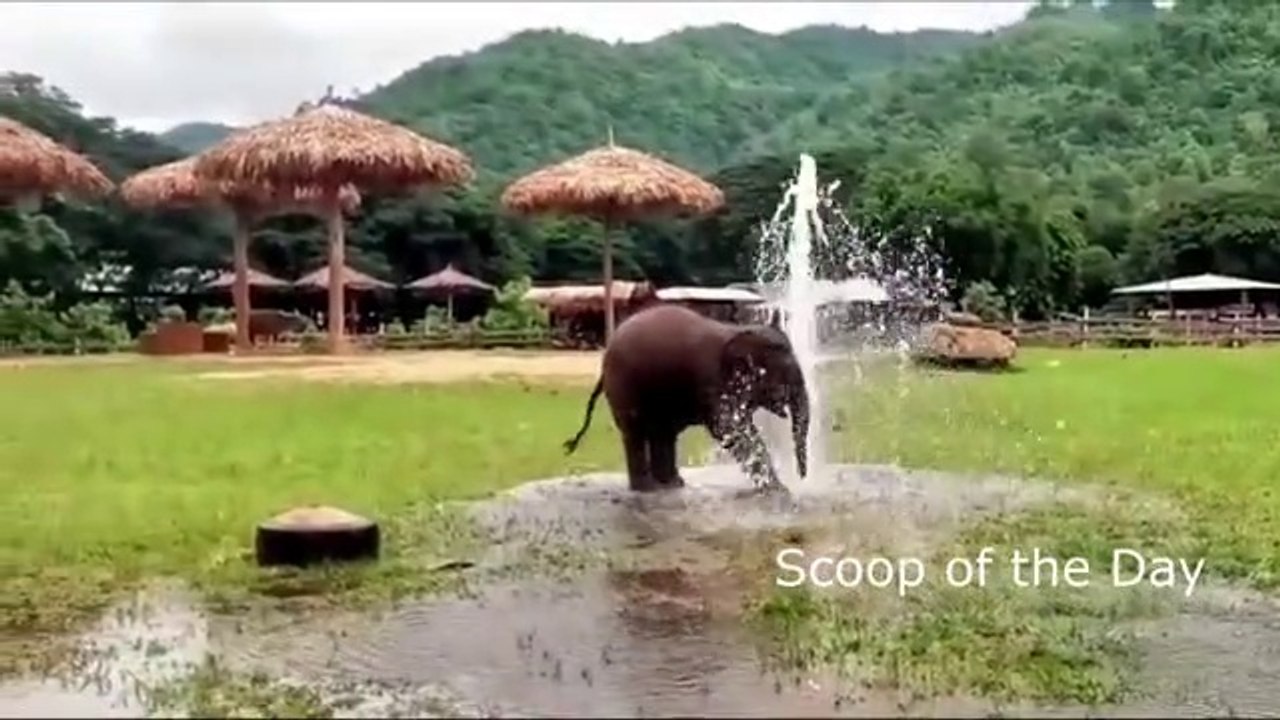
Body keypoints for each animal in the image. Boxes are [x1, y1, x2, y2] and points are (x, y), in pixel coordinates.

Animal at [563, 303, 810, 493]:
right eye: (785, 375)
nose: (802, 477)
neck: (737, 331)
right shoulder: (714, 383)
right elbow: (730, 430)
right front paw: (779, 489)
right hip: (624, 386)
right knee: (636, 432)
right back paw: (648, 488)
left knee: (662, 432)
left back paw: (672, 485)